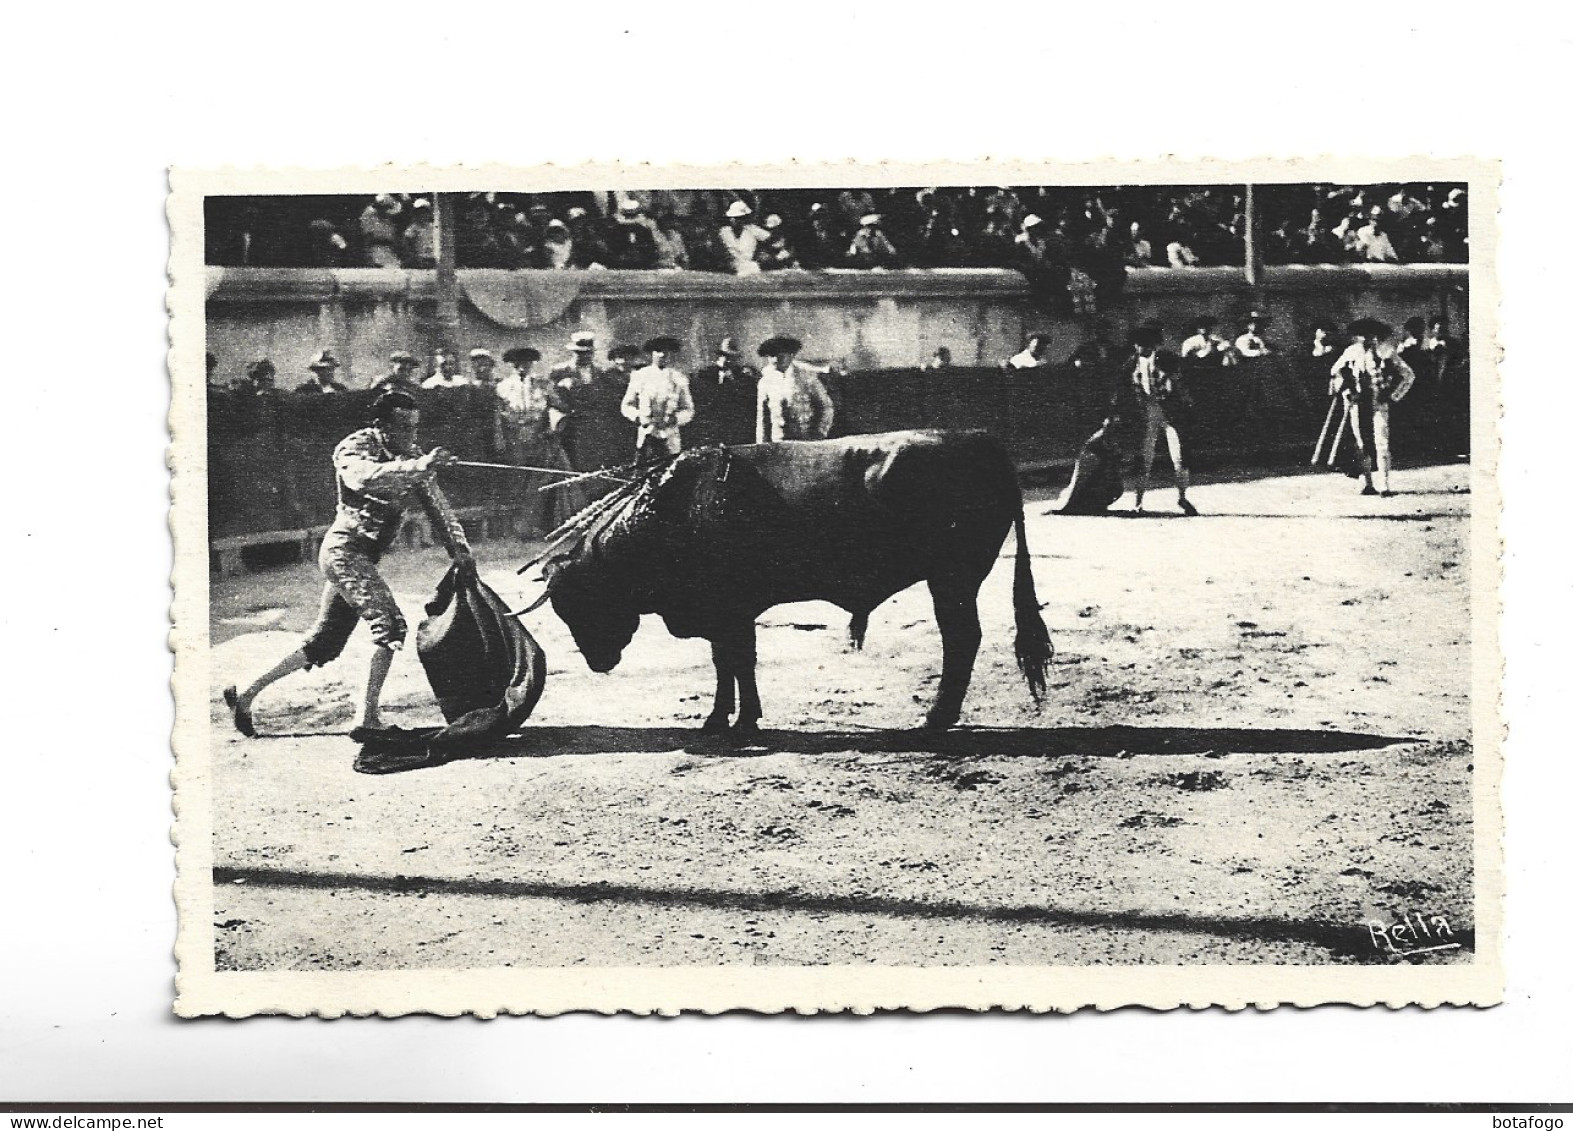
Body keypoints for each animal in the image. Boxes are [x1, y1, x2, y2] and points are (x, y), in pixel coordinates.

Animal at [522, 431, 1050, 733]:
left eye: (584, 602)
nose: (599, 662)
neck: (673, 510)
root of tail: (980, 444)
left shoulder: (730, 611)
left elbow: (737, 662)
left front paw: (737, 721)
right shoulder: (725, 616)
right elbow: (728, 664)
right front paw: (726, 719)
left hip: (953, 578)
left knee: (961, 638)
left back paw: (936, 718)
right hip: (954, 580)